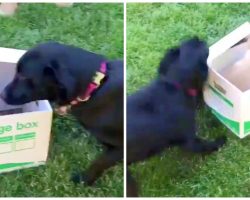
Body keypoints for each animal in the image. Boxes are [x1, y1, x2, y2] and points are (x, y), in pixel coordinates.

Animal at [0, 42, 124, 188]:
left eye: (24, 76)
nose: (2, 95)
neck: (95, 86)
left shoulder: (121, 147)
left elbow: (98, 163)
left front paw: (83, 180)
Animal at [127, 38, 227, 197]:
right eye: (201, 48)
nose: (197, 37)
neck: (174, 85)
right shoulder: (190, 141)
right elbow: (206, 145)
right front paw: (220, 141)